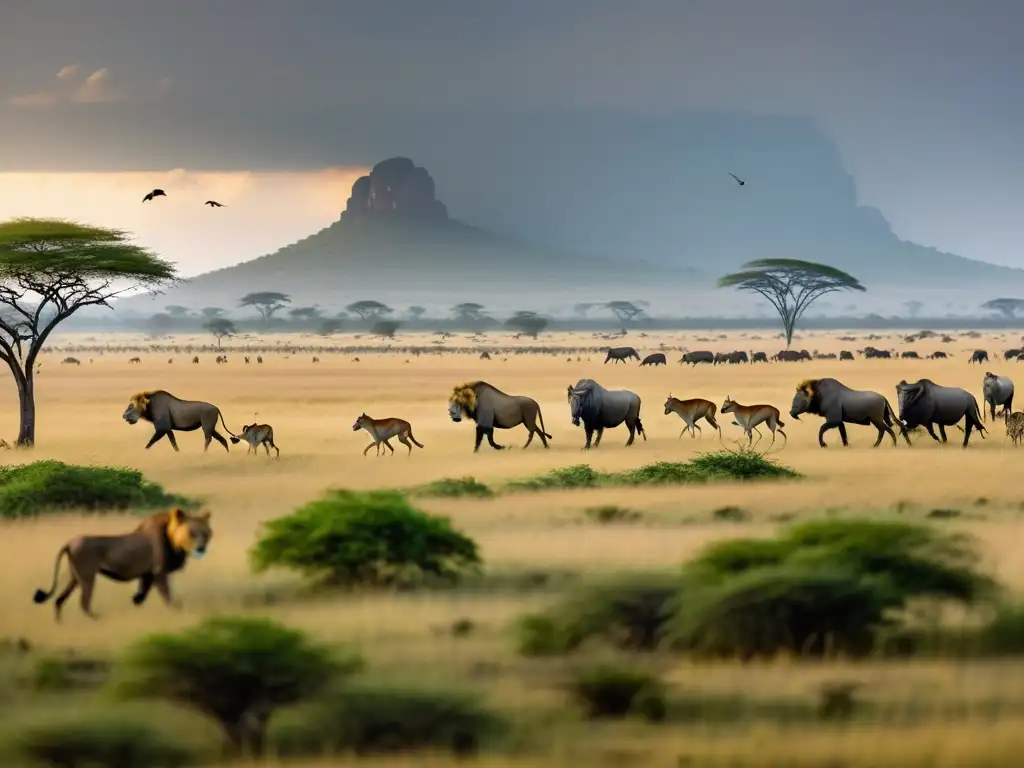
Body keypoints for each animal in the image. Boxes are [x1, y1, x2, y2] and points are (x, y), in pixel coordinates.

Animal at [33, 507, 211, 622]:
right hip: (87, 576)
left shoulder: (147, 575)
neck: (175, 543)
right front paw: (178, 611)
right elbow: (167, 597)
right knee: (83, 602)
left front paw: (136, 606)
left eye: (206, 533)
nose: (201, 548)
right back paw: (99, 619)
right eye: (192, 533)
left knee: (59, 600)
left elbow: (140, 597)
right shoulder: (159, 573)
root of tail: (69, 542)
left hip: (75, 577)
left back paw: (59, 623)